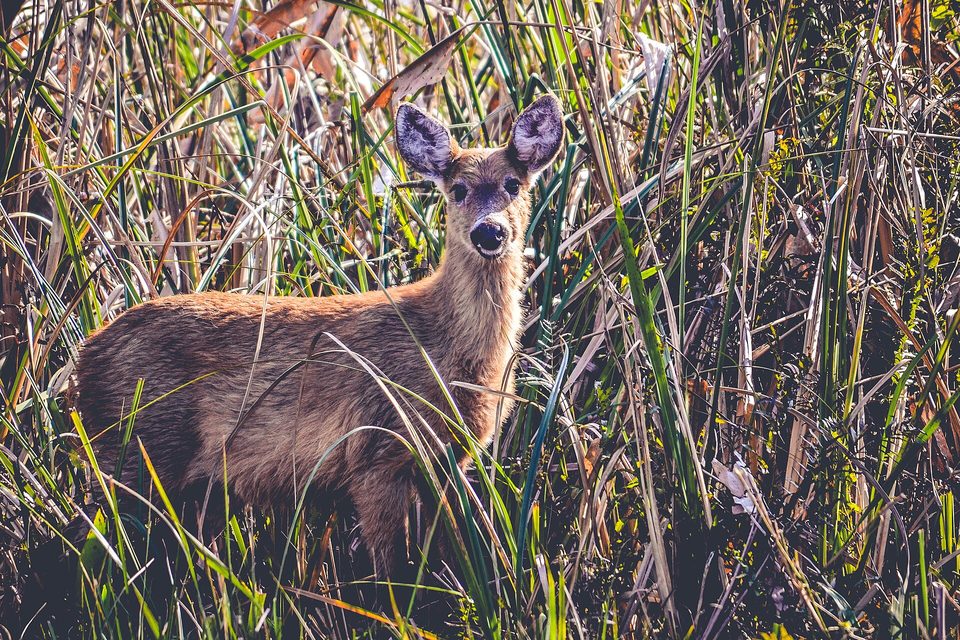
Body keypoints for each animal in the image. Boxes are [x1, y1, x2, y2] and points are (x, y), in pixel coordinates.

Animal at [73, 94, 565, 578]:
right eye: (458, 189)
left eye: (513, 184)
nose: (490, 231)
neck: (446, 350)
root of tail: (84, 356)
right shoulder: (375, 450)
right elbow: (392, 570)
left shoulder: (447, 459)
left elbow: (453, 552)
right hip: (136, 448)